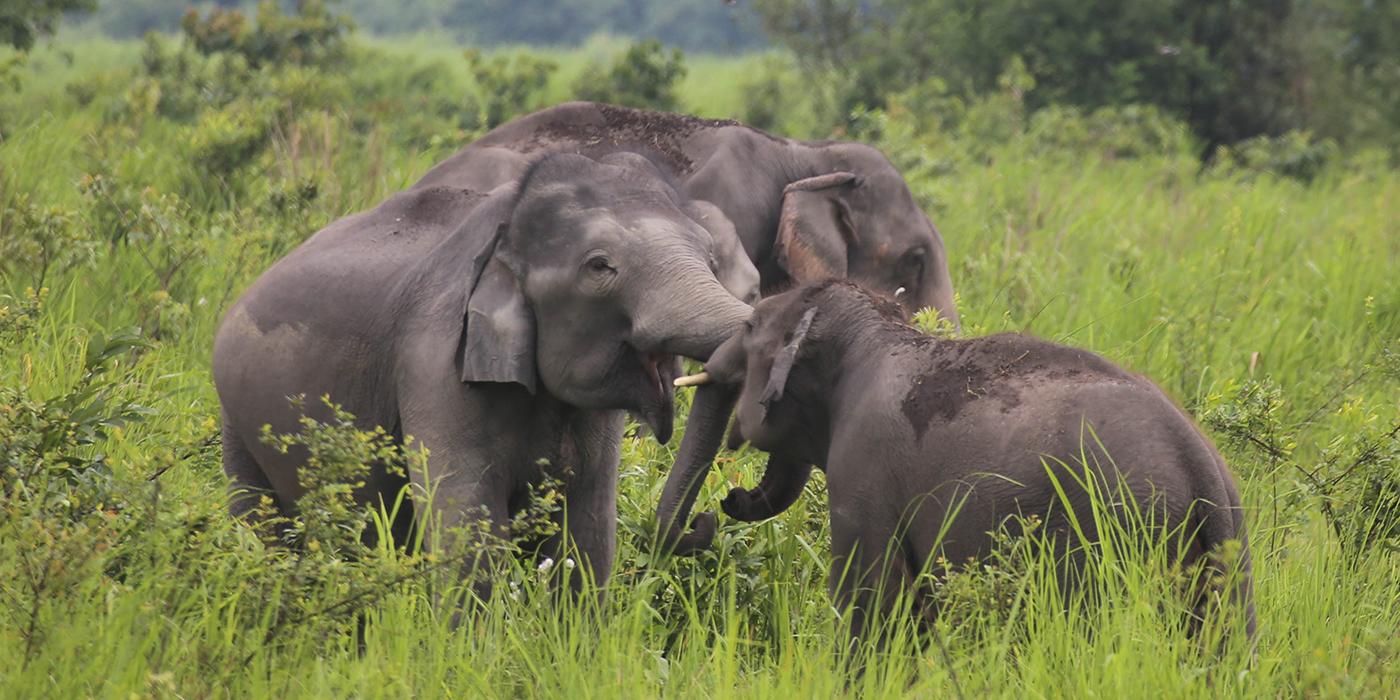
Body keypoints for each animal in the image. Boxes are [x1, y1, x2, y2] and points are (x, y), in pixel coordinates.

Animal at [210, 151, 756, 590]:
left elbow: (588, 536)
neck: (507, 229)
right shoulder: (434, 363)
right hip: (237, 423)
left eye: (709, 256)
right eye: (600, 267)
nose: (711, 515)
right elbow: (467, 533)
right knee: (263, 529)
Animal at [663, 280, 1260, 649]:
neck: (875, 327)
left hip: (1113, 529)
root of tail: (1198, 458)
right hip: (1227, 554)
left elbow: (873, 601)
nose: (720, 506)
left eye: (750, 328)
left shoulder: (865, 464)